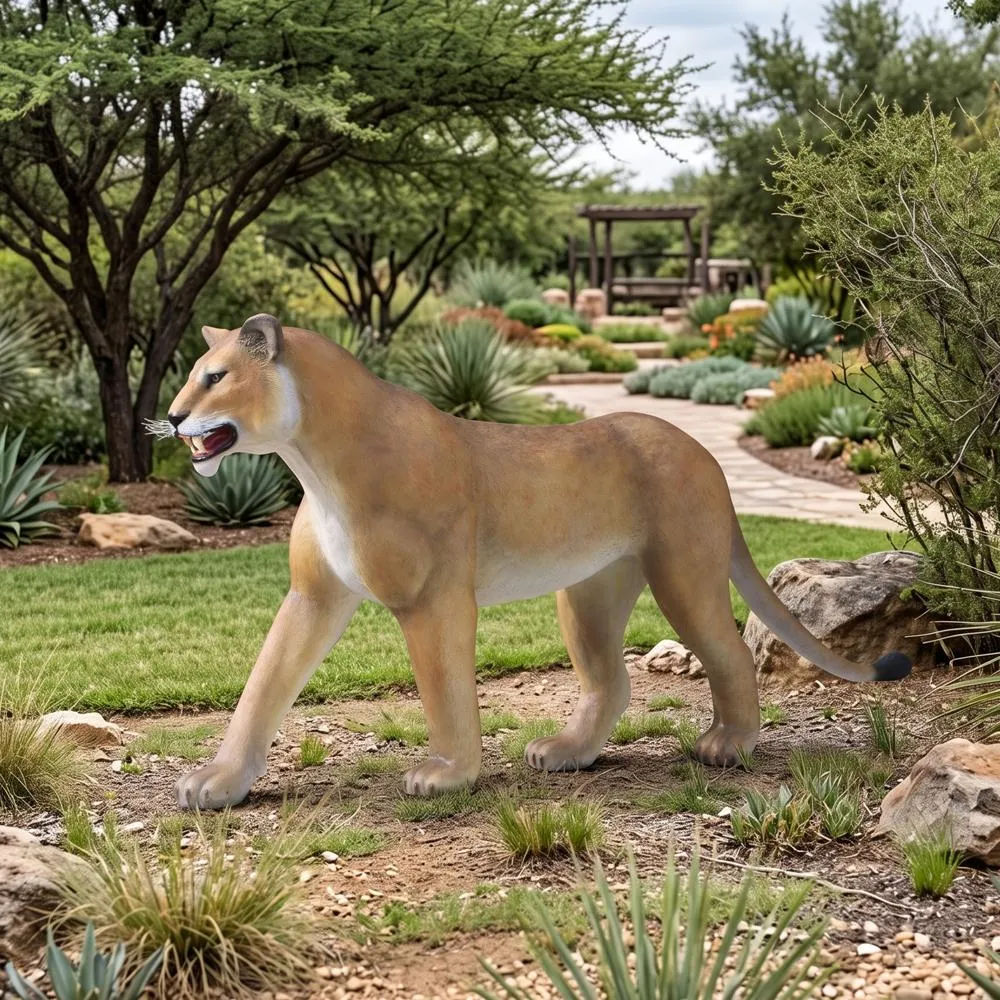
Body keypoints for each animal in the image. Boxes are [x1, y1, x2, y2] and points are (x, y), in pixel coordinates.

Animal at [163, 313, 910, 809]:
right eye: (193, 377)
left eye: (215, 377)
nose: (170, 417)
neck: (313, 461)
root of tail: (704, 453)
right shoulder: (313, 596)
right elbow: (263, 685)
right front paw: (219, 782)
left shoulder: (434, 598)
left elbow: (444, 690)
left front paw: (448, 774)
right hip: (588, 591)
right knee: (613, 681)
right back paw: (569, 753)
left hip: (682, 574)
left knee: (728, 654)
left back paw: (729, 744)